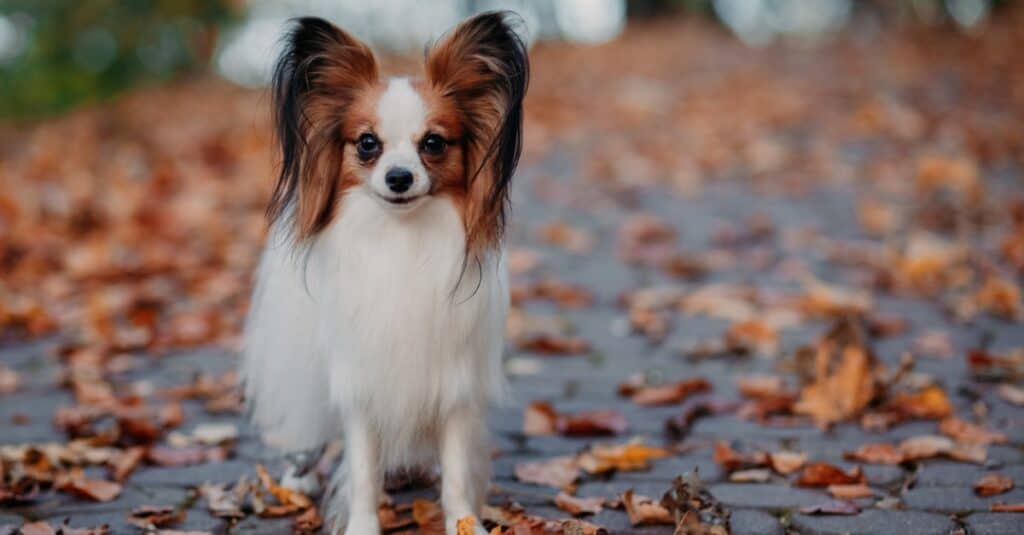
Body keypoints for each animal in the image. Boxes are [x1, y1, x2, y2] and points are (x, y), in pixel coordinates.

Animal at [241, 9, 528, 532]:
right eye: (367, 144)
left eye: (433, 143)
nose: (399, 178)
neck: (402, 240)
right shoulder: (361, 382)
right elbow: (361, 470)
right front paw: (361, 524)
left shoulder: (453, 384)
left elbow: (456, 470)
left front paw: (464, 522)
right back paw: (296, 478)